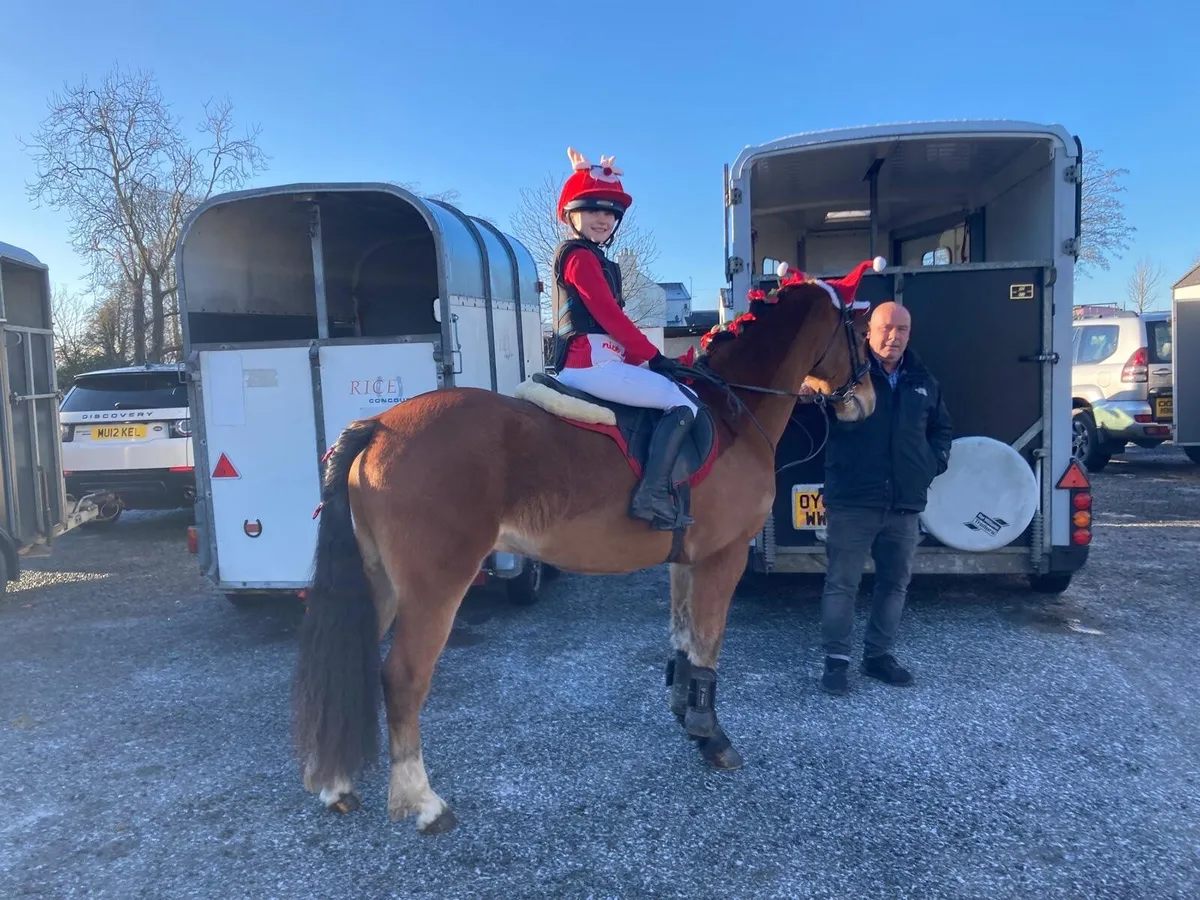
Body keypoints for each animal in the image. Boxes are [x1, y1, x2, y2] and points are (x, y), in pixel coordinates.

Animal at [290, 261, 882, 834]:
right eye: (859, 330)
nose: (868, 402)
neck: (728, 410)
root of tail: (379, 425)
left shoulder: (685, 562)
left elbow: (683, 641)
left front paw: (685, 718)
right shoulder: (724, 557)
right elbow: (708, 646)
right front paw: (712, 737)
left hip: (380, 582)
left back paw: (337, 786)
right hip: (434, 589)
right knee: (402, 679)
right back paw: (423, 803)